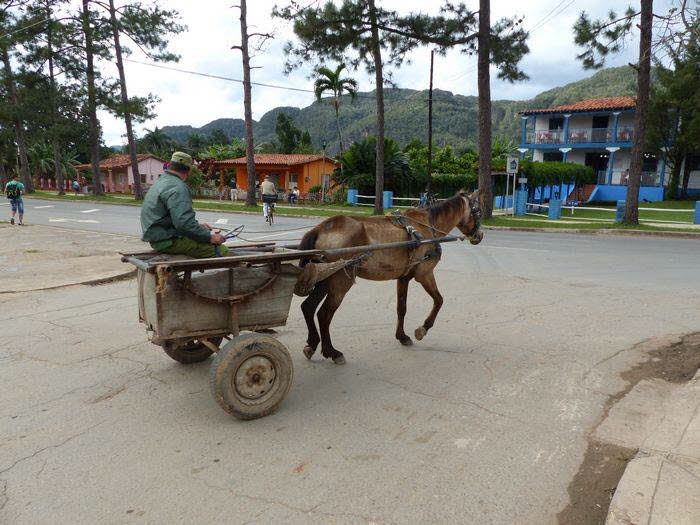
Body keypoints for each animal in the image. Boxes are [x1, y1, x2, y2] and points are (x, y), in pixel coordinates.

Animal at [296, 189, 482, 364]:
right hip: (341, 280)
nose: (479, 236)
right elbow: (439, 300)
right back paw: (332, 352)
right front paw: (422, 329)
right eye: (478, 211)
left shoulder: (404, 278)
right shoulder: (424, 274)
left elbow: (402, 308)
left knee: (308, 307)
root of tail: (321, 228)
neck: (428, 226)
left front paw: (402, 336)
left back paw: (312, 344)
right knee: (324, 314)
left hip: (324, 276)